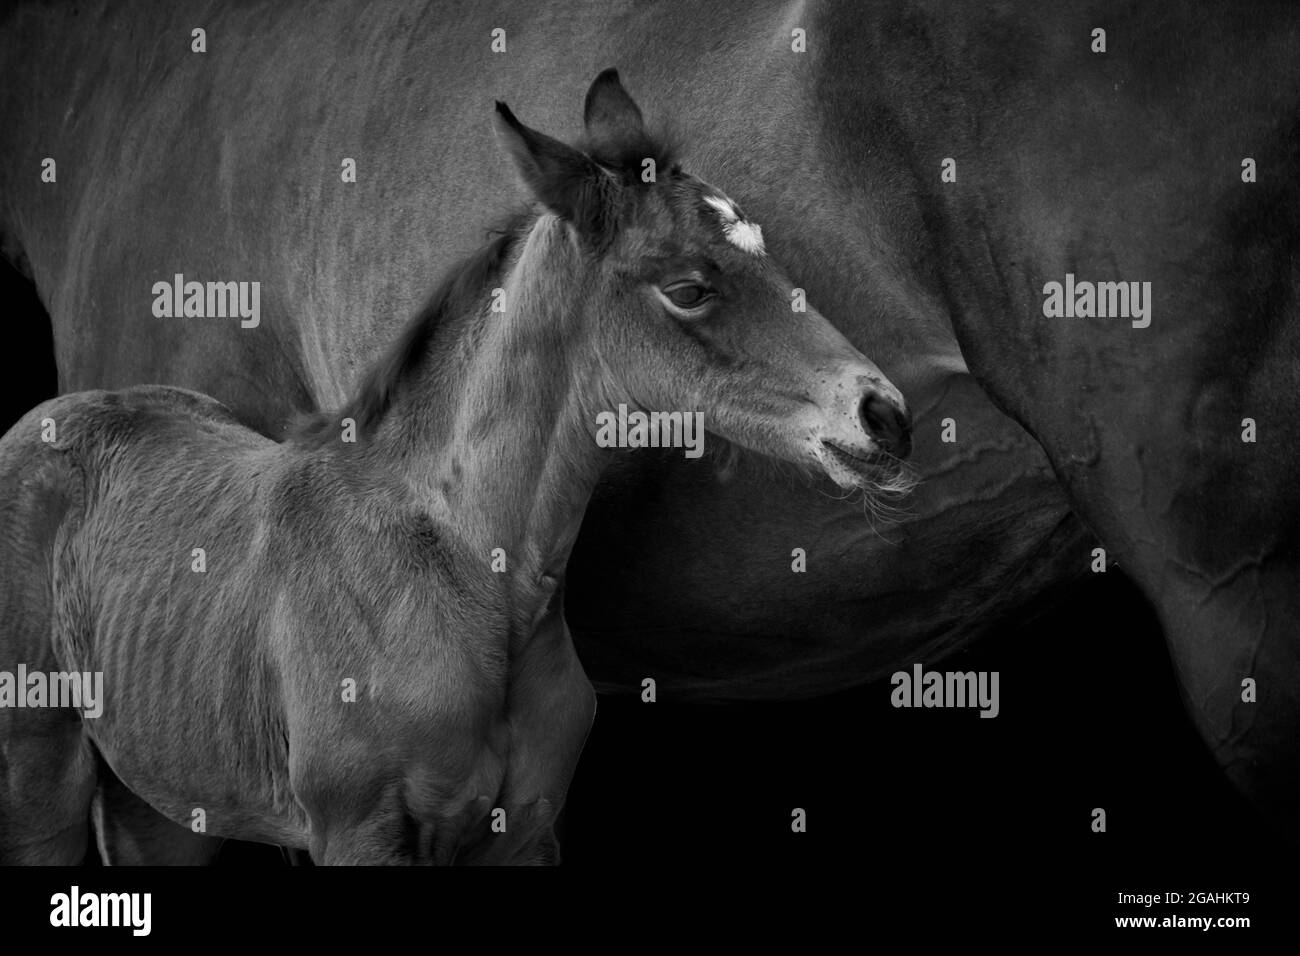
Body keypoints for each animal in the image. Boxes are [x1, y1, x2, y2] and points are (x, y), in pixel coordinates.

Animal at [0, 65, 915, 858]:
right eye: (688, 288)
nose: (886, 418)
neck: (475, 571)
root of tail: (41, 420)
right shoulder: (358, 833)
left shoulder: (529, 828)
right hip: (37, 786)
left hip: (164, 806)